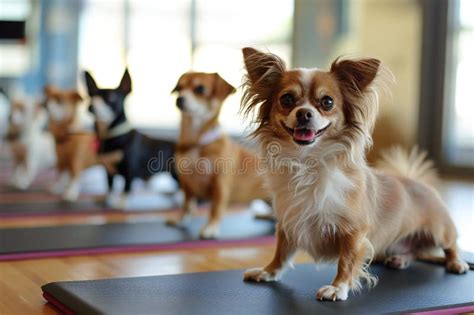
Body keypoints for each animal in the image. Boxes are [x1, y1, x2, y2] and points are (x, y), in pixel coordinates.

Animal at [83, 69, 178, 210]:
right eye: (92, 96)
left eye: (111, 97)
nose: (90, 106)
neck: (110, 134)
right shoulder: (108, 169)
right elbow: (109, 186)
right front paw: (108, 200)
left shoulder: (129, 171)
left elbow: (126, 188)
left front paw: (122, 205)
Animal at [168, 72, 268, 239]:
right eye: (179, 88)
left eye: (200, 89)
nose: (179, 99)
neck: (196, 141)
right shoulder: (186, 182)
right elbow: (187, 204)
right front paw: (181, 220)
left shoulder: (220, 184)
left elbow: (215, 208)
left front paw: (210, 228)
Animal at [239, 47, 468, 302]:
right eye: (286, 99)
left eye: (327, 102)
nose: (304, 113)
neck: (308, 162)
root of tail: (418, 181)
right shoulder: (289, 222)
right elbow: (281, 252)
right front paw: (268, 272)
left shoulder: (354, 231)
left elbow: (346, 260)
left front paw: (338, 288)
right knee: (413, 252)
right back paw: (400, 259)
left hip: (441, 230)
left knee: (451, 245)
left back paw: (457, 263)